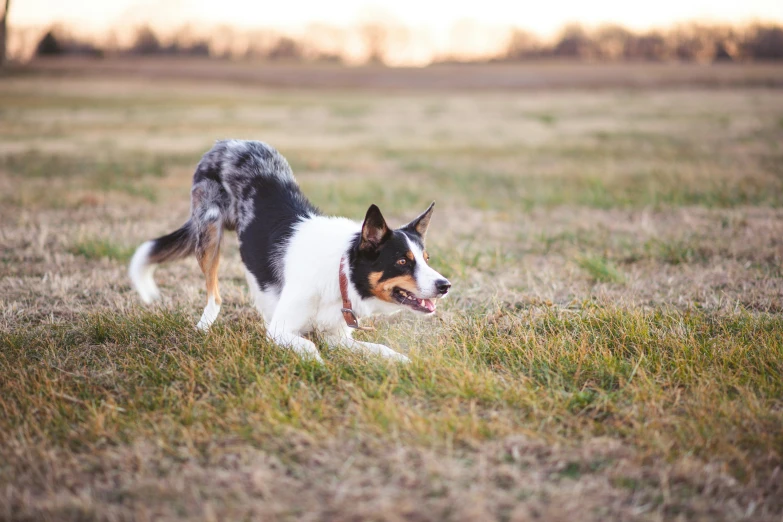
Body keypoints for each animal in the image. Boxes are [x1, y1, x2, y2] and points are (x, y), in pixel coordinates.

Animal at [126, 140, 450, 364]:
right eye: (402, 261)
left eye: (426, 259)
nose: (445, 285)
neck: (340, 272)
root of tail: (227, 142)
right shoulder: (281, 331)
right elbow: (308, 346)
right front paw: (318, 365)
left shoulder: (339, 338)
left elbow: (381, 349)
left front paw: (405, 363)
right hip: (209, 231)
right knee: (214, 293)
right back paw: (204, 326)